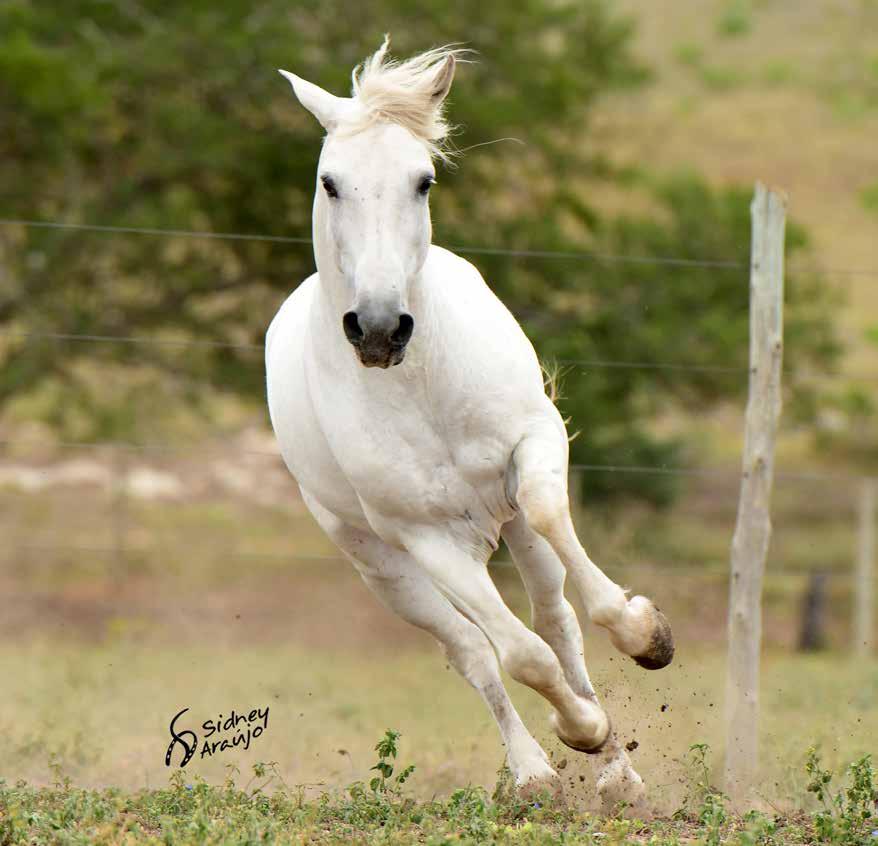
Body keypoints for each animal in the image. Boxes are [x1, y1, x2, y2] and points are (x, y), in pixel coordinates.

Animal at [266, 39, 672, 808]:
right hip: (385, 569)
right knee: (475, 650)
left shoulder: (533, 446)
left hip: (508, 525)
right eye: (331, 183)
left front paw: (644, 633)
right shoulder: (425, 540)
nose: (379, 329)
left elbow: (551, 534)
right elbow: (516, 656)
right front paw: (579, 730)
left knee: (556, 618)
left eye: (423, 181)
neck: (419, 386)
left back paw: (622, 774)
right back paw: (539, 769)